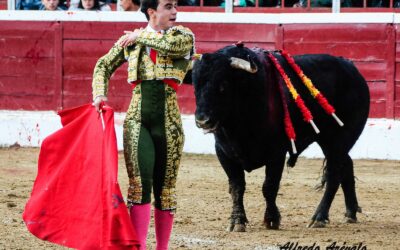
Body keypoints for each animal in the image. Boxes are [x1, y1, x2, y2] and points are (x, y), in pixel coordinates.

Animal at [192, 45, 370, 230]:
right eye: (195, 86)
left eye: (223, 85)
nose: (202, 120)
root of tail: (352, 68)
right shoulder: (223, 152)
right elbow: (237, 187)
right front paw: (237, 221)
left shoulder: (276, 152)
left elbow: (269, 187)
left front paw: (271, 220)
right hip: (329, 141)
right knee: (346, 165)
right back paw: (350, 213)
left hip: (341, 137)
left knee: (334, 173)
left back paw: (319, 217)